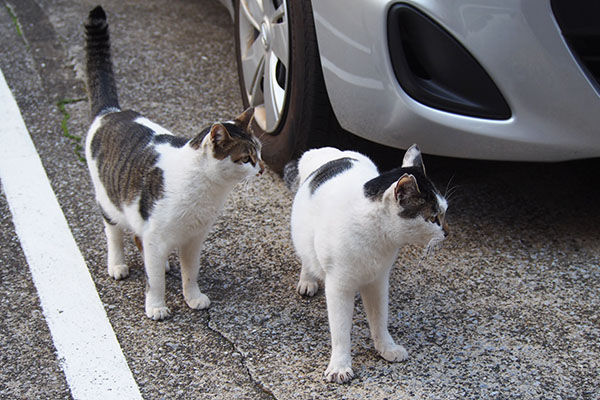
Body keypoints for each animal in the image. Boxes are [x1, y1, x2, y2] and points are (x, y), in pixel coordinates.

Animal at [83, 6, 264, 320]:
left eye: (260, 152)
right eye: (246, 158)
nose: (262, 169)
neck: (206, 190)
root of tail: (110, 112)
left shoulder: (193, 239)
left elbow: (190, 273)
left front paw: (193, 297)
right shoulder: (156, 234)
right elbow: (153, 280)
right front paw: (156, 306)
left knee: (139, 241)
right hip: (109, 203)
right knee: (115, 234)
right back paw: (117, 264)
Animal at [284, 145, 448, 382]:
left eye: (444, 212)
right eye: (434, 217)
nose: (447, 233)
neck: (377, 233)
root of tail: (331, 151)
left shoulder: (378, 282)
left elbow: (379, 319)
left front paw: (386, 348)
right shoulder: (339, 287)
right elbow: (341, 330)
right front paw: (340, 365)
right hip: (303, 236)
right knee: (307, 256)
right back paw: (308, 280)